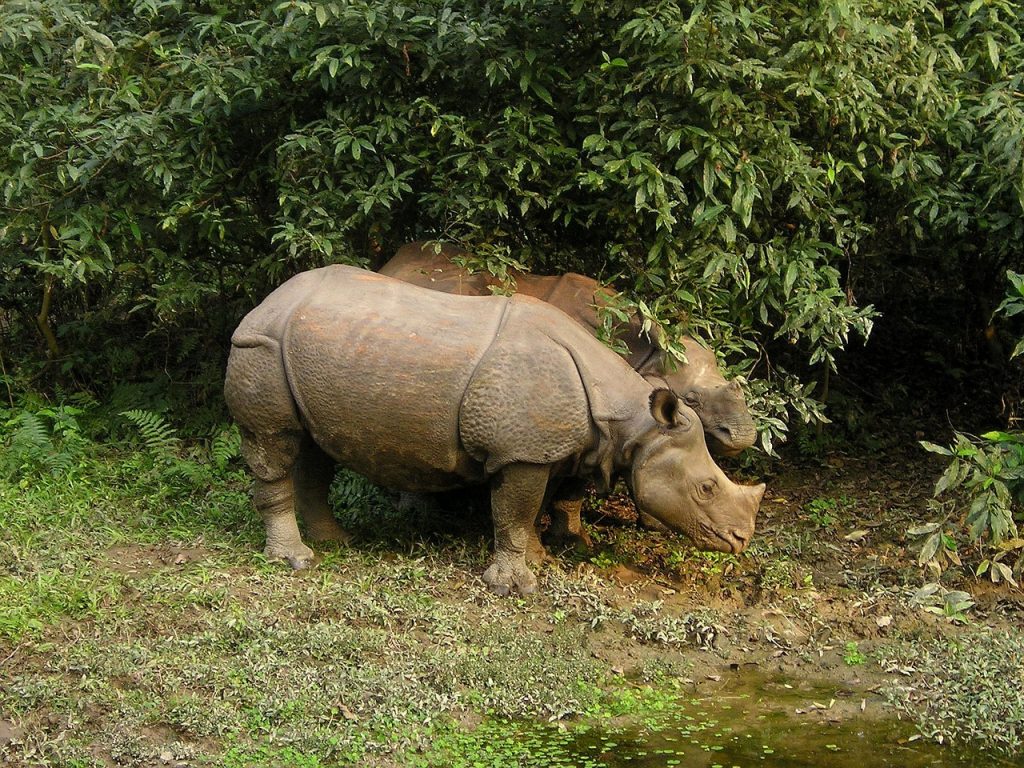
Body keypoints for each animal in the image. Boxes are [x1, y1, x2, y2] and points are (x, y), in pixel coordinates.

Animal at [224, 265, 764, 595]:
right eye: (705, 487)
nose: (741, 540)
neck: (630, 417)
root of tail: (268, 299)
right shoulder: (521, 452)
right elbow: (515, 511)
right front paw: (515, 586)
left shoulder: (551, 446)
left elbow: (535, 508)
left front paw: (541, 559)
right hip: (262, 345)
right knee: (273, 444)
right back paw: (296, 561)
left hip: (312, 351)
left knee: (315, 450)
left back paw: (337, 543)